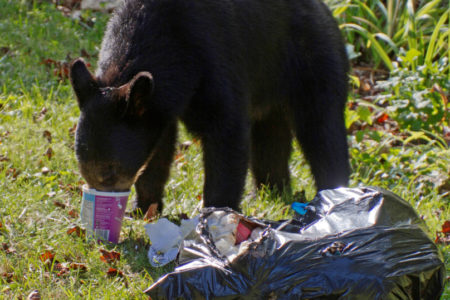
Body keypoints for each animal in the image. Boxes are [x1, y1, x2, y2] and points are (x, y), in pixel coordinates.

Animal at [70, 0, 352, 216]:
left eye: (110, 170)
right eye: (84, 168)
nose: (105, 203)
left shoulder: (214, 59)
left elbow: (227, 133)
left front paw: (216, 214)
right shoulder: (158, 106)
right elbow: (158, 149)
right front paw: (144, 209)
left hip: (312, 61)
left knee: (323, 131)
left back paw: (334, 196)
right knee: (270, 140)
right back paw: (269, 191)